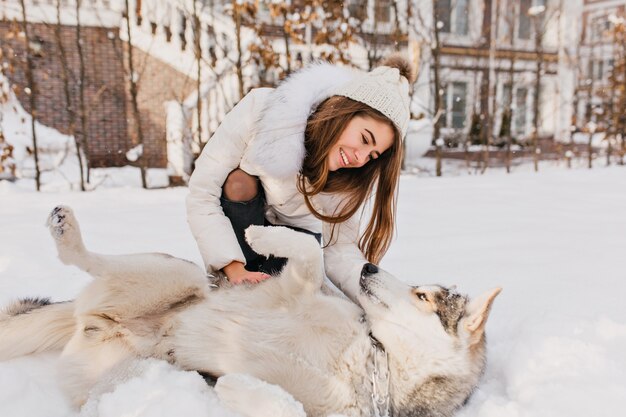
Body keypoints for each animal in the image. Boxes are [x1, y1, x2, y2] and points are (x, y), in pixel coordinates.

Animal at [0, 206, 498, 416]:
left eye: (422, 296)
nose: (368, 266)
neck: (373, 357)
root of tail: (90, 321)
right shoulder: (297, 286)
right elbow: (309, 250)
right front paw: (262, 233)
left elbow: (285, 408)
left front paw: (235, 385)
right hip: (180, 275)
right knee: (87, 260)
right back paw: (66, 229)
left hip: (133, 372)